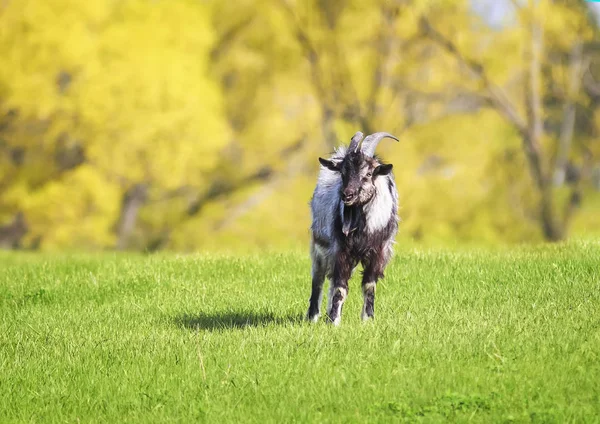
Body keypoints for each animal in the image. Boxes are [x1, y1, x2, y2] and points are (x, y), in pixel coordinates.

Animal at [308, 131, 400, 326]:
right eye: (343, 172)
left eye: (369, 173)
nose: (347, 195)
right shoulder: (341, 250)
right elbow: (340, 287)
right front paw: (334, 321)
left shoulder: (379, 251)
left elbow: (369, 285)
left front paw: (368, 320)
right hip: (319, 245)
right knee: (318, 279)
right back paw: (313, 317)